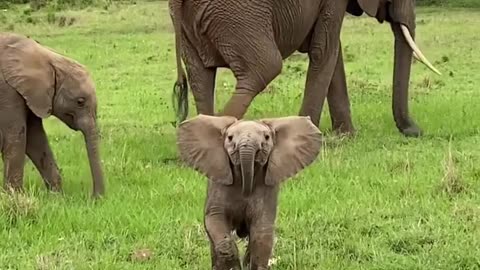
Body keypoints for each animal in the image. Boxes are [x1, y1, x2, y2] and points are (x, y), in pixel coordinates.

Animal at [0, 33, 104, 198]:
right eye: (80, 102)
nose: (95, 198)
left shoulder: (34, 97)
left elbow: (35, 140)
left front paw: (57, 197)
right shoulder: (7, 93)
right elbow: (15, 139)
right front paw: (14, 197)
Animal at [168, 0, 438, 137]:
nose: (415, 131)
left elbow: (332, 52)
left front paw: (346, 135)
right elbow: (325, 49)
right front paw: (309, 135)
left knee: (200, 77)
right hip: (237, 15)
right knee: (265, 68)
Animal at [176, 114, 322, 270]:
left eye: (267, 137)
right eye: (229, 138)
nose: (246, 192)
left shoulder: (267, 187)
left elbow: (262, 228)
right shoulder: (219, 183)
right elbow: (215, 218)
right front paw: (233, 266)